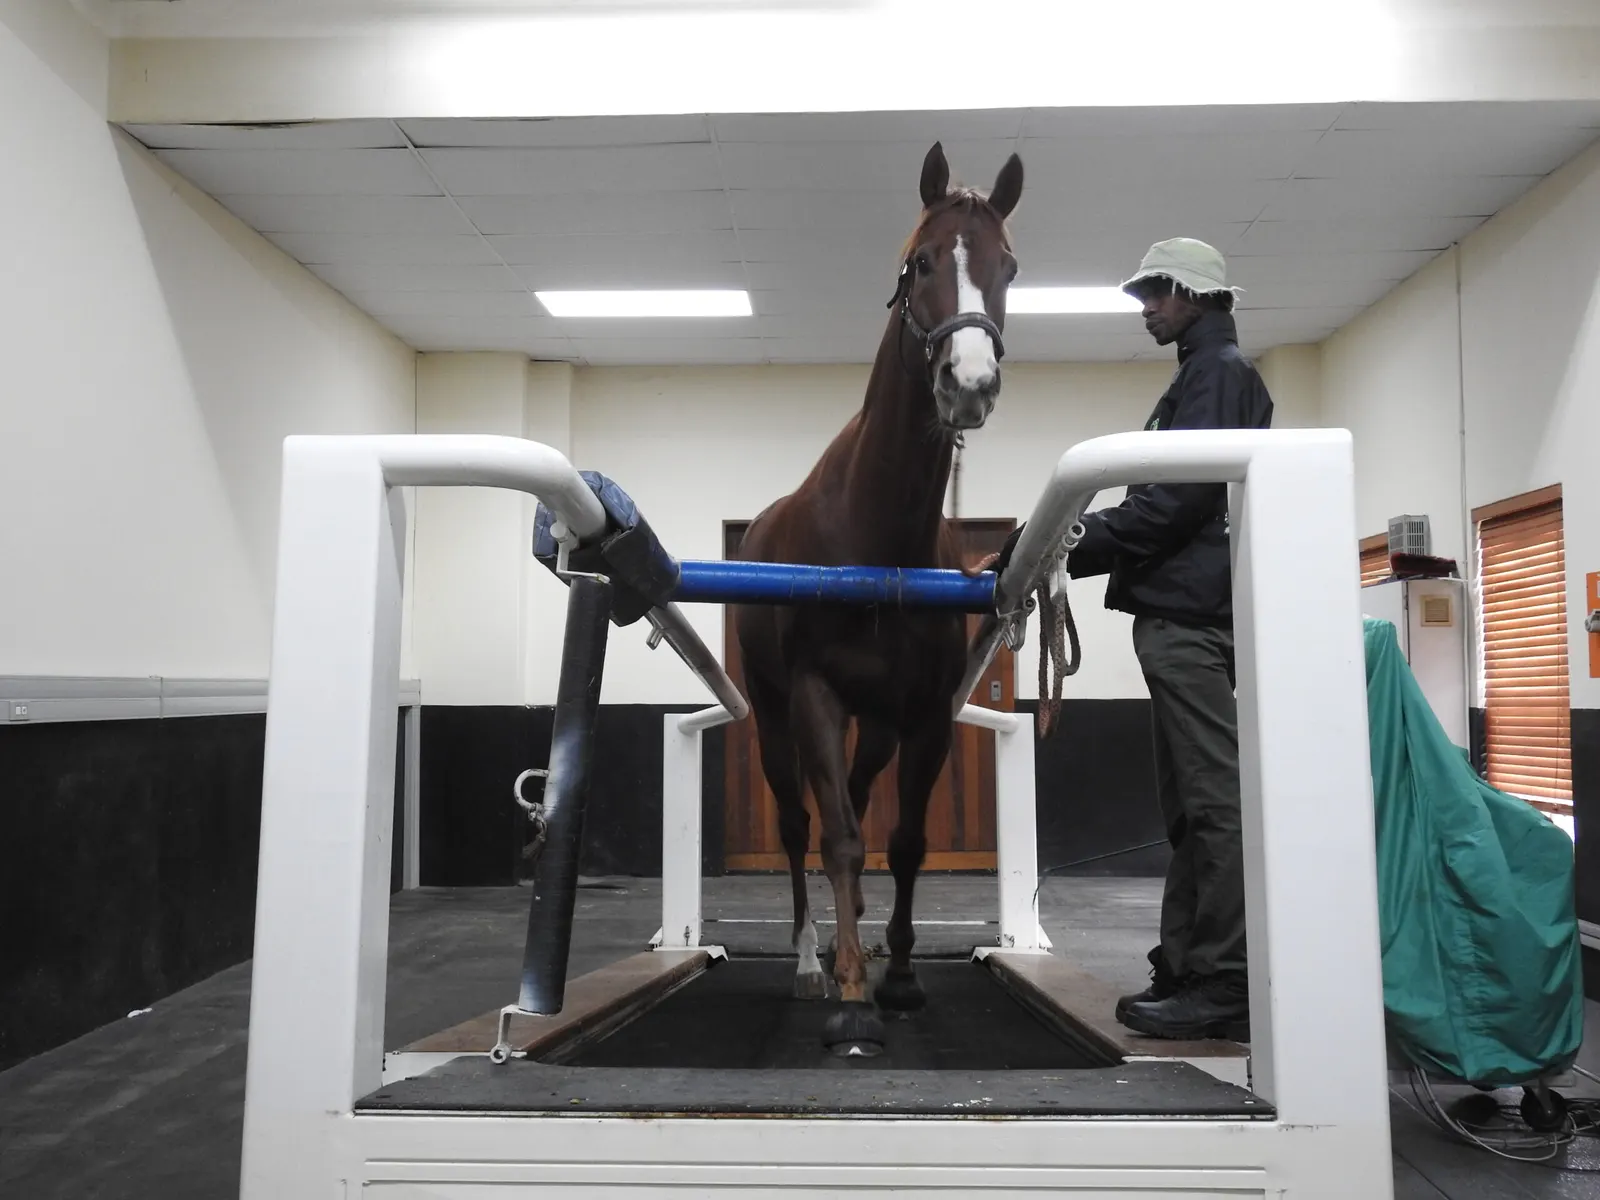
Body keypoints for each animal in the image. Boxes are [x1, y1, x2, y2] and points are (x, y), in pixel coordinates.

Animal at [731, 142, 1024, 1056]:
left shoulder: (923, 715)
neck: (874, 532)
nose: (971, 381)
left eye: (1008, 266)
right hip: (777, 715)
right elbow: (839, 840)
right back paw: (807, 959)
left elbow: (903, 842)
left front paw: (896, 973)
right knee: (803, 825)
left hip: (881, 728)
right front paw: (853, 989)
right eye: (922, 261)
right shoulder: (817, 697)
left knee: (859, 801)